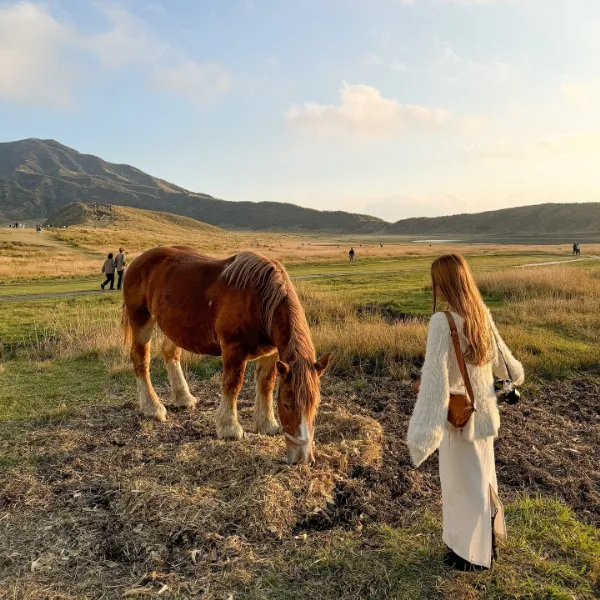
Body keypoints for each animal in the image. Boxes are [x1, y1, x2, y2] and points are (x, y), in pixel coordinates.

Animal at [119, 244, 330, 464]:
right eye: (287, 405)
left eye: (315, 406)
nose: (303, 459)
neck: (259, 300)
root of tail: (138, 261)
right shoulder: (233, 349)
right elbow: (232, 385)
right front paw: (229, 428)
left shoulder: (271, 355)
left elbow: (266, 386)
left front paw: (266, 424)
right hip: (141, 320)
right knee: (141, 359)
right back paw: (152, 407)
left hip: (175, 328)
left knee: (170, 354)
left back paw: (183, 398)